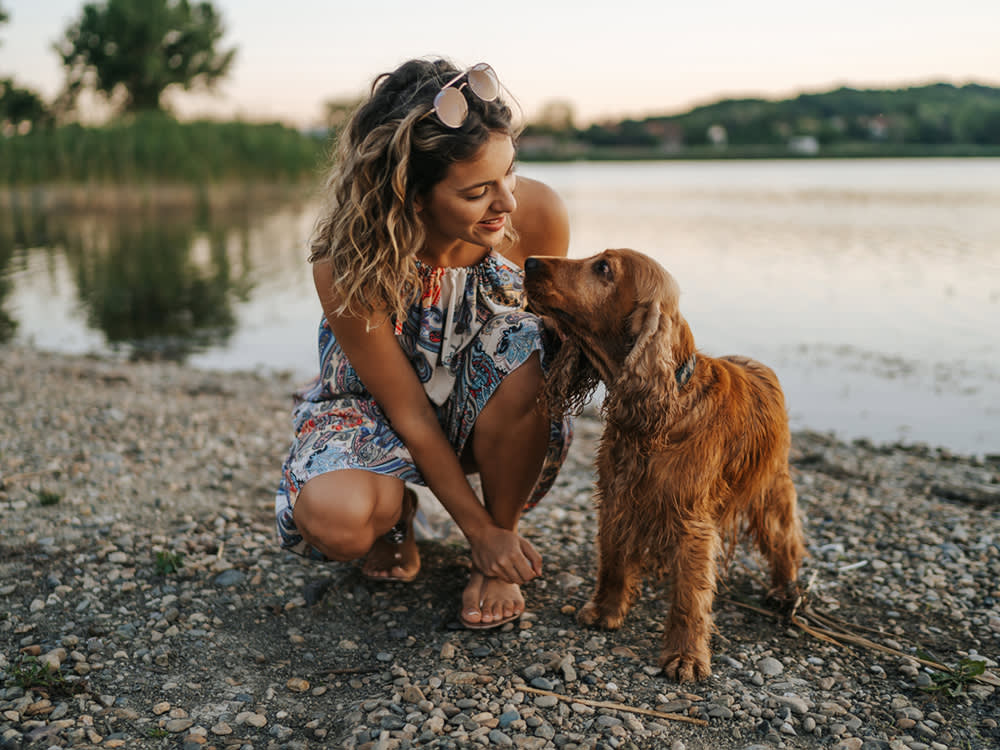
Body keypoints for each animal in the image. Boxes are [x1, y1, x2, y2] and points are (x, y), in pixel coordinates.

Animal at [524, 250, 804, 684]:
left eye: (603, 268)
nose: (529, 262)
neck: (667, 408)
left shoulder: (692, 521)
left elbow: (690, 596)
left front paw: (685, 656)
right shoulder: (617, 499)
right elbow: (614, 561)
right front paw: (605, 610)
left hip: (771, 487)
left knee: (785, 540)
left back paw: (784, 589)